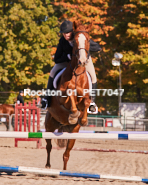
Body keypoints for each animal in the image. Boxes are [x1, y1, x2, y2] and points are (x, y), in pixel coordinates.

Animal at [44, 21, 92, 170]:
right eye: (75, 41)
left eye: (88, 40)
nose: (82, 61)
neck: (77, 74)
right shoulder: (62, 98)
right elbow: (70, 93)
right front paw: (73, 115)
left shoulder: (84, 98)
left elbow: (86, 101)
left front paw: (82, 119)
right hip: (49, 126)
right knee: (48, 147)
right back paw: (47, 166)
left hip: (73, 133)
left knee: (66, 154)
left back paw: (65, 171)